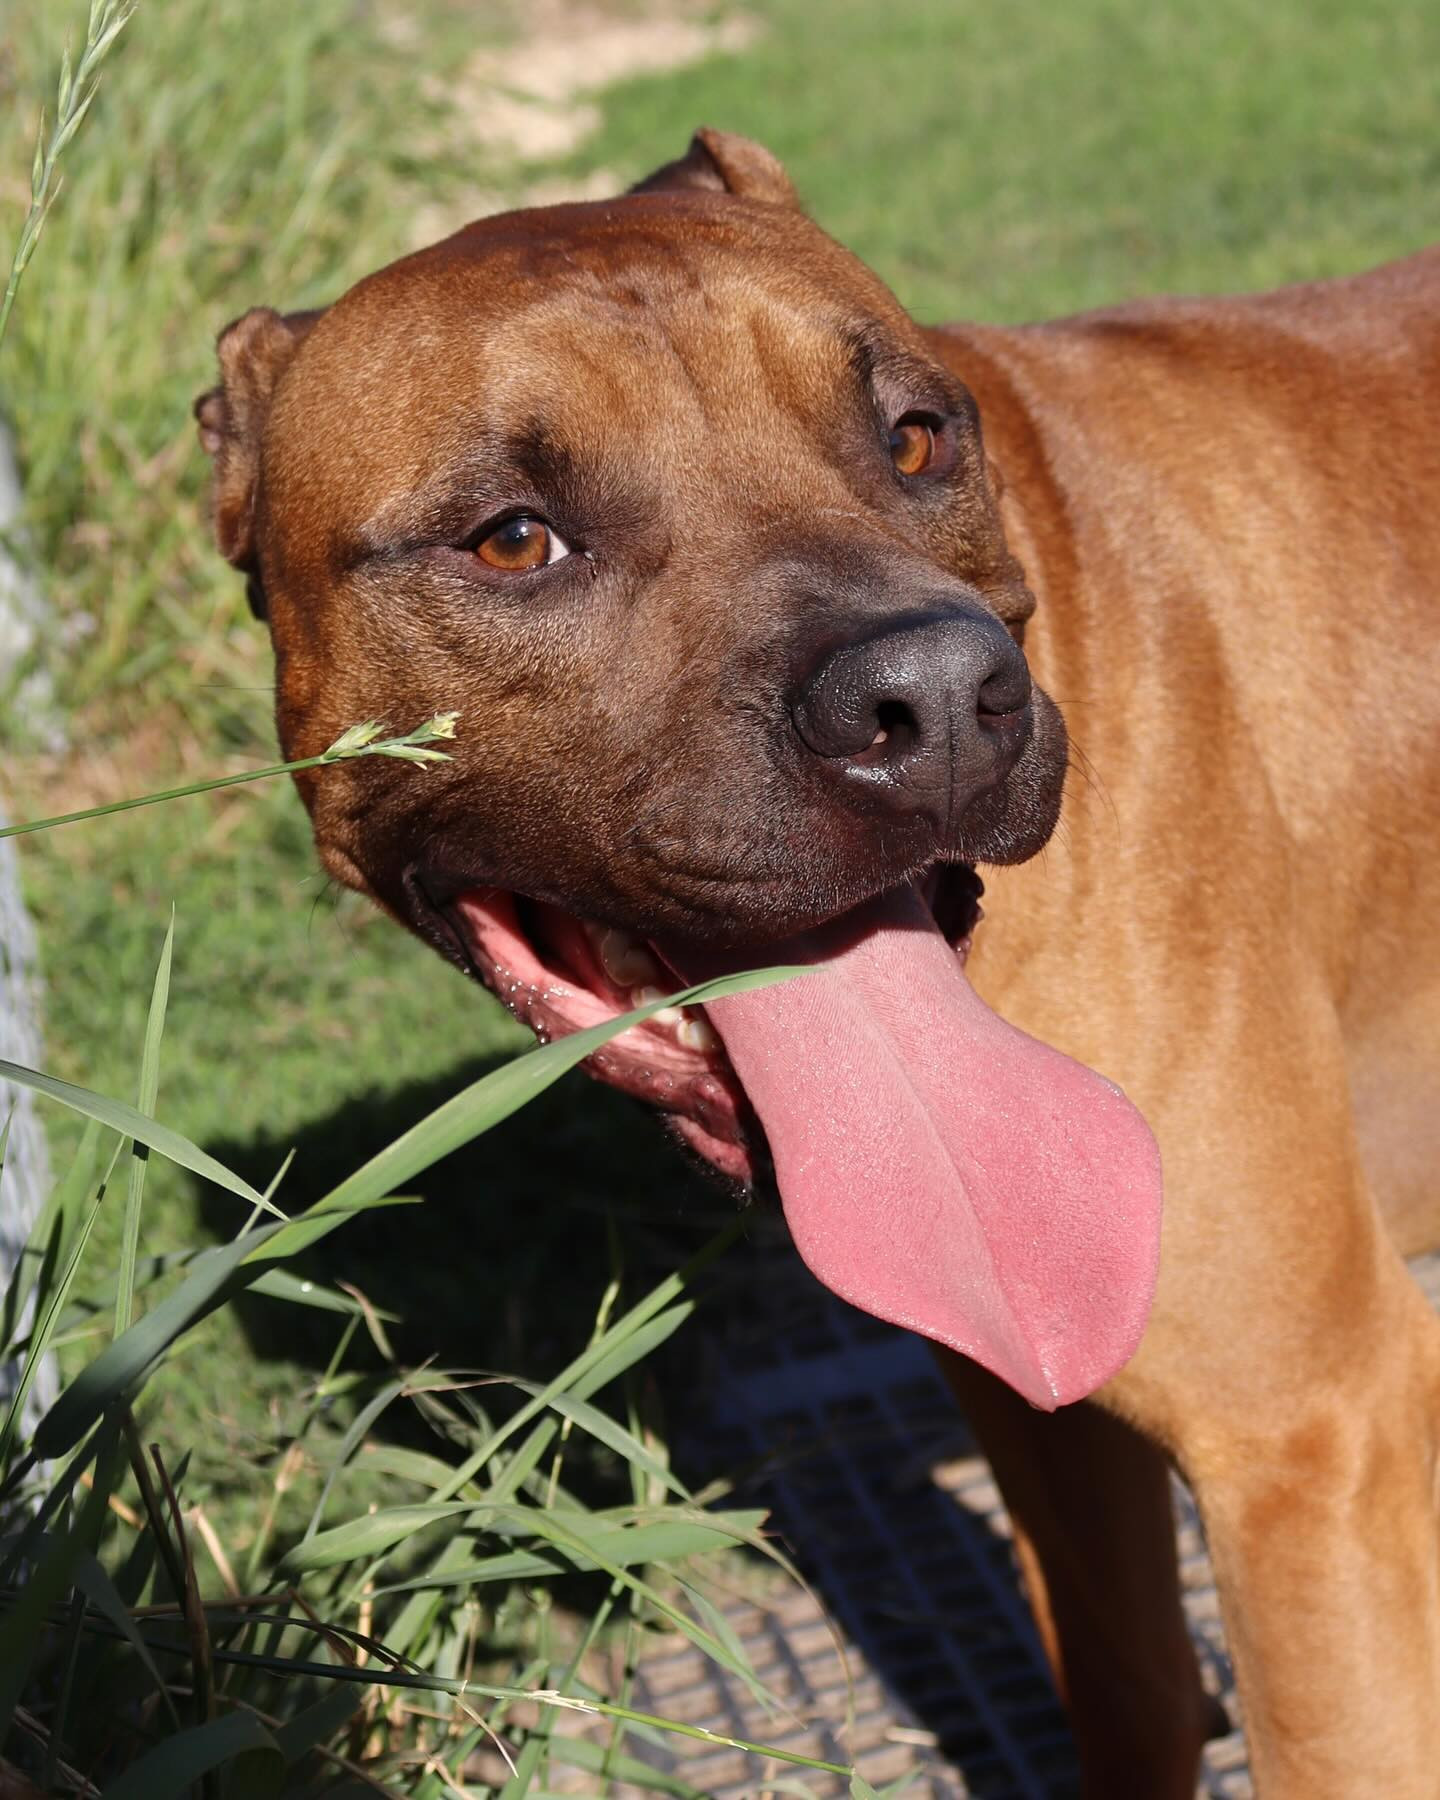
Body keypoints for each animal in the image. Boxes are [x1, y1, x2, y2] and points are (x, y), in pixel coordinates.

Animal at [197, 133, 1440, 1792]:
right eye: (514, 537)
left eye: (915, 440)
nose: (939, 698)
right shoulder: (1042, 1400)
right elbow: (1129, 1677)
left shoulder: (1311, 1445)